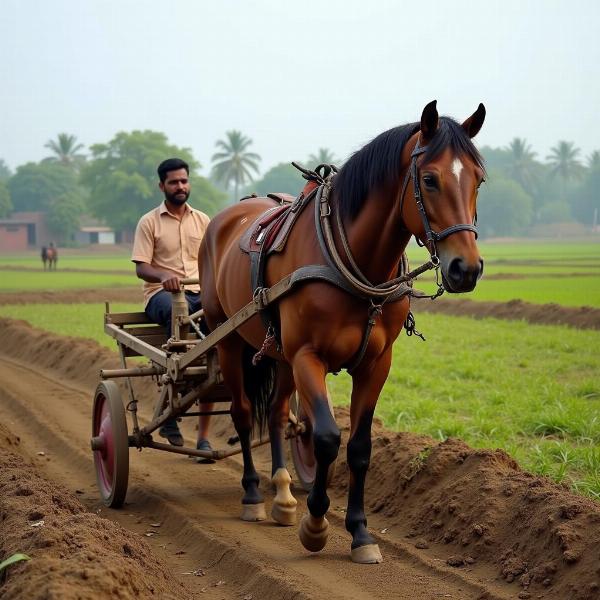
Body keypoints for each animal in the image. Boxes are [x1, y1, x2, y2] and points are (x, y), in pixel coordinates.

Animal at [199, 101, 486, 564]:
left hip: (279, 354)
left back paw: (283, 494)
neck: (357, 263)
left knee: (276, 414)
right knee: (243, 414)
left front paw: (360, 531)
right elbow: (327, 437)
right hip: (225, 337)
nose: (467, 268)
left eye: (479, 178)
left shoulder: (375, 364)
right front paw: (316, 524)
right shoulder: (307, 357)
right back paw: (253, 496)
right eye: (429, 179)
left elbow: (359, 447)